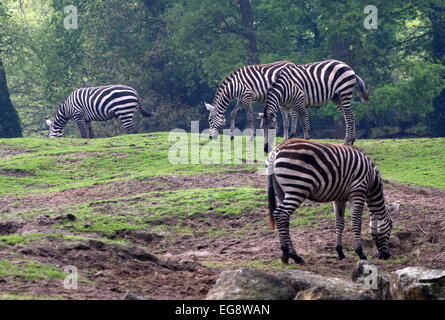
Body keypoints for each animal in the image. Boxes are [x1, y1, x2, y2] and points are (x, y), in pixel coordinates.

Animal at [268, 139, 398, 264]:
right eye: (391, 226)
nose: (386, 256)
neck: (371, 181)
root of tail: (277, 149)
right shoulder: (358, 193)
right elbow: (356, 222)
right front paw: (360, 253)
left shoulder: (339, 198)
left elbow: (339, 223)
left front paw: (340, 252)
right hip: (298, 188)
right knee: (280, 214)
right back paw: (290, 254)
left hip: (282, 191)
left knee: (285, 218)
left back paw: (290, 256)